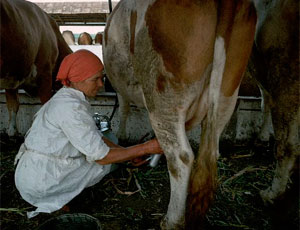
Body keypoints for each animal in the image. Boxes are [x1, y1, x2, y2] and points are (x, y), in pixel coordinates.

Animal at [102, 0, 256, 228]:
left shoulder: (121, 89)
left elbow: (123, 109)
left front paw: (121, 136)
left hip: (163, 93)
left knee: (180, 157)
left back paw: (171, 220)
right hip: (227, 93)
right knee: (211, 148)